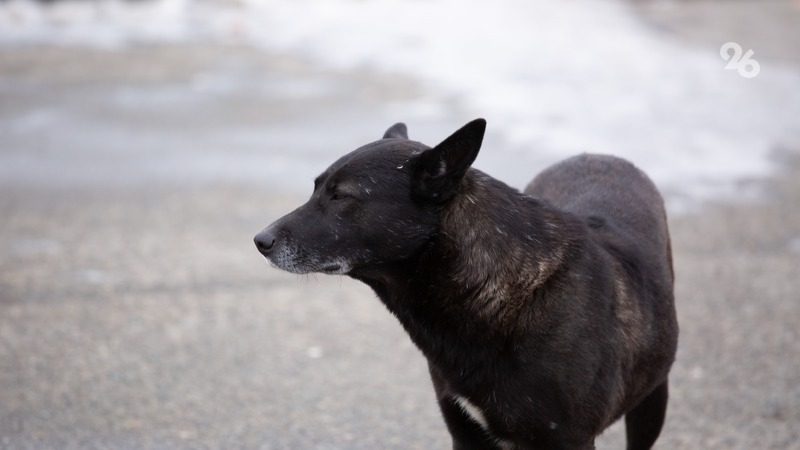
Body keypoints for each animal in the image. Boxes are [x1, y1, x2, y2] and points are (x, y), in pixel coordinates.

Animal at [255, 120, 676, 450]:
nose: (260, 241)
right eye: (316, 188)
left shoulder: (568, 440)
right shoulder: (466, 433)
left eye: (341, 196)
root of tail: (599, 155)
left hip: (652, 401)